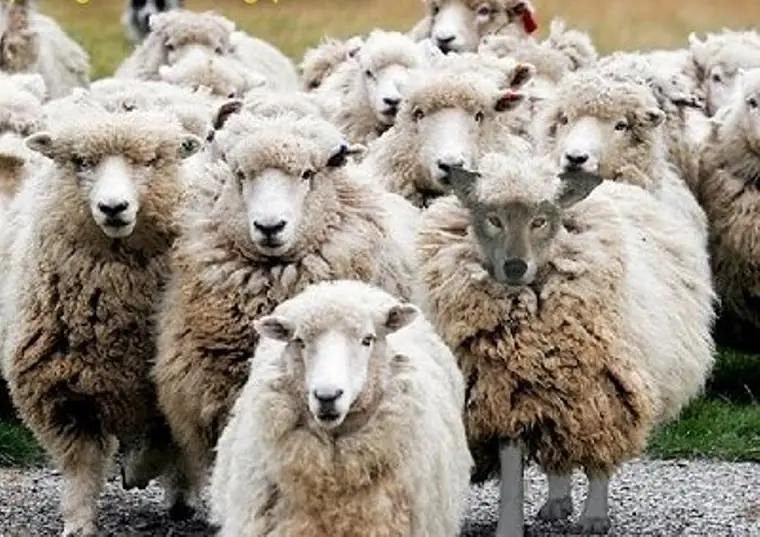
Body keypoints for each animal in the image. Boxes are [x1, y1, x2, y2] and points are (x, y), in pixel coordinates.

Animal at [1, 110, 203, 536]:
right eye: (81, 161)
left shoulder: (167, 385)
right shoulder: (63, 394)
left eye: (151, 161)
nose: (114, 207)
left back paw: (181, 495)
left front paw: (139, 471)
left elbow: (162, 442)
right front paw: (78, 521)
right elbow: (81, 464)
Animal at [417, 154, 715, 535]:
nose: (515, 266)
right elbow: (512, 466)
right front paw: (510, 525)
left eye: (541, 220)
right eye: (492, 219)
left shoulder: (604, 390)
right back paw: (557, 500)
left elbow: (599, 456)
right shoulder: (505, 394)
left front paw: (594, 518)